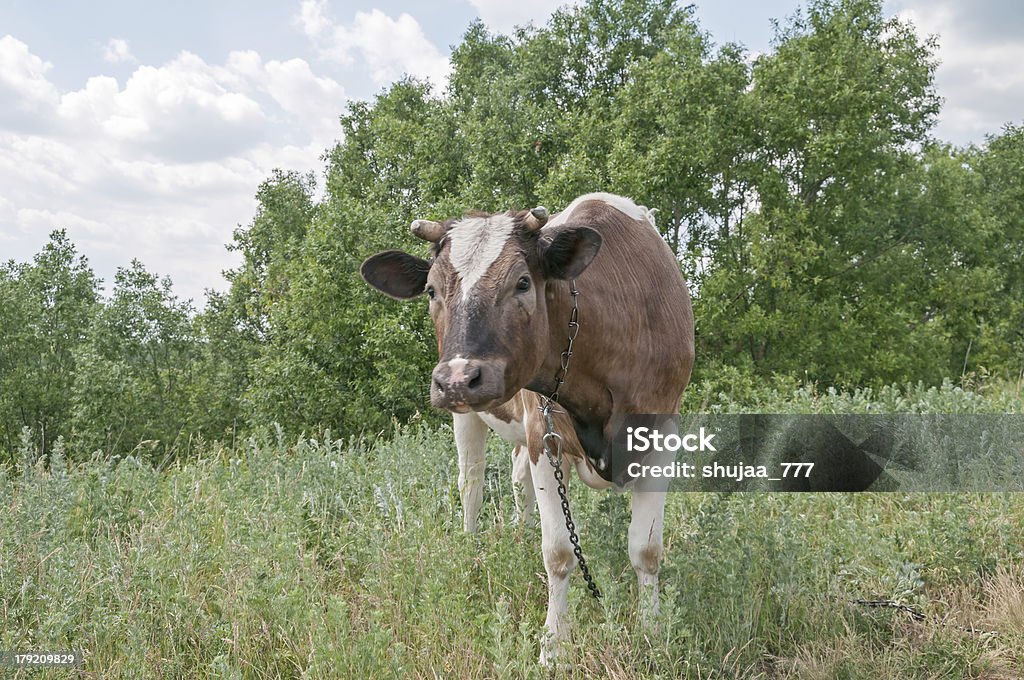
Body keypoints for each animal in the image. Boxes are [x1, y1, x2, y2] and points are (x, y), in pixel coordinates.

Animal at [360, 191, 696, 663]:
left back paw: (518, 534)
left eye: (522, 282)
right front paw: (553, 646)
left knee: (518, 479)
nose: (458, 378)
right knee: (471, 484)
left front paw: (653, 634)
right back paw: (472, 552)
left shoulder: (663, 431)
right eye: (431, 289)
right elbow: (558, 551)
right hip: (468, 416)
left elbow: (646, 548)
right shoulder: (545, 436)